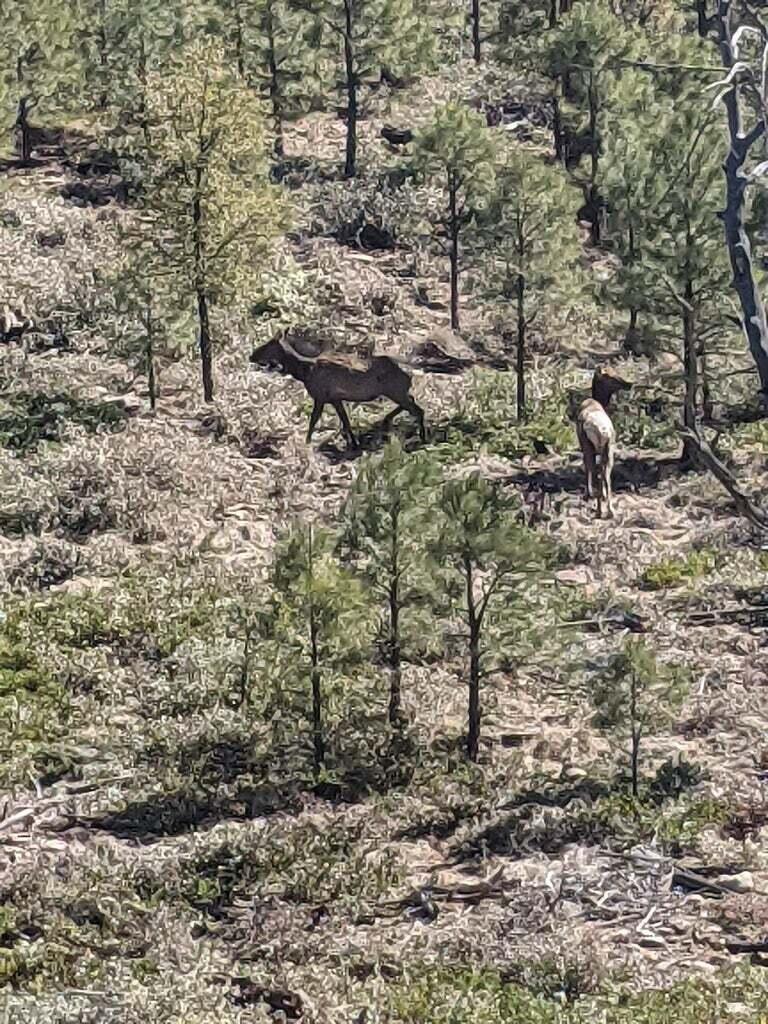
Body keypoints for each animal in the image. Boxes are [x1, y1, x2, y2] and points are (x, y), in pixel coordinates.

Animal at [249, 336, 426, 449]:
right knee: (412, 401)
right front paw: (353, 443)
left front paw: (307, 443)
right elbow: (345, 421)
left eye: (268, 345)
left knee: (418, 409)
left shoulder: (320, 396)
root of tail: (411, 371)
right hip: (397, 392)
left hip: (395, 391)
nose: (251, 355)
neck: (304, 371)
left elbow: (313, 420)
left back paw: (422, 437)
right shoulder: (335, 399)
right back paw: (387, 420)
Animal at [576, 366, 632, 519]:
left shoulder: (584, 446)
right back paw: (610, 510)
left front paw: (588, 495)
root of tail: (601, 430)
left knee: (595, 472)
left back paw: (599, 509)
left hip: (592, 447)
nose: (628, 384)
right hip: (608, 447)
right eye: (610, 376)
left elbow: (588, 467)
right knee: (606, 474)